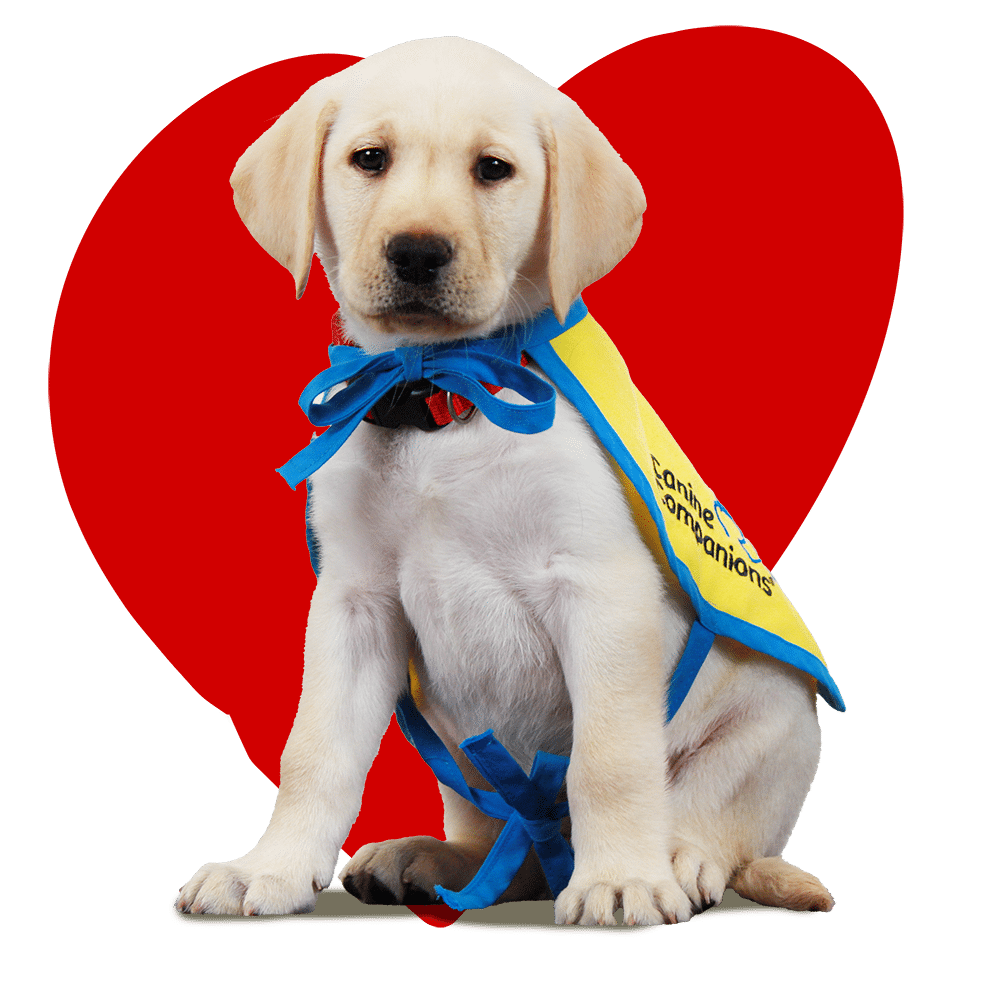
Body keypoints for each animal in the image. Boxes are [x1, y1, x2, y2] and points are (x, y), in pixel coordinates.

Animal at [177, 35, 835, 923]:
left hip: (774, 724)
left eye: (493, 170)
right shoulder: (354, 602)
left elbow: (609, 758)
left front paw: (620, 879)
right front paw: (269, 869)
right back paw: (428, 856)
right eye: (369, 159)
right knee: (508, 851)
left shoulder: (601, 592)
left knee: (712, 822)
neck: (441, 395)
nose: (418, 252)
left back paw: (672, 861)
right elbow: (314, 752)